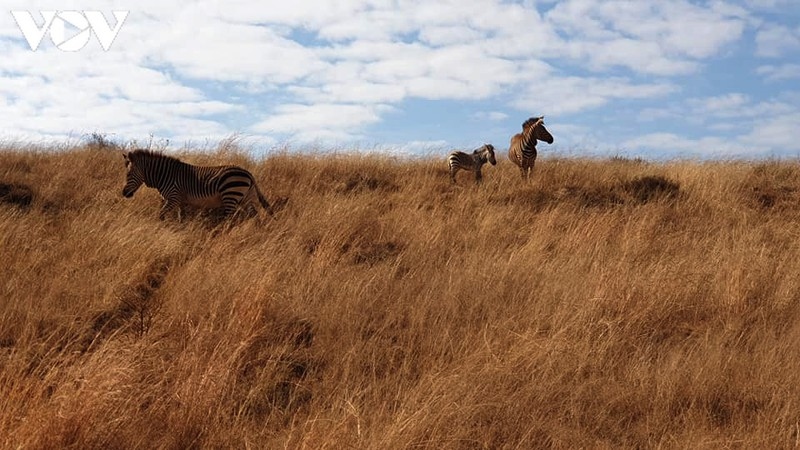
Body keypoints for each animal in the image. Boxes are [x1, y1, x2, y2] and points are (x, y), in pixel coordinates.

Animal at [122, 149, 276, 220]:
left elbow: (160, 214)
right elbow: (181, 217)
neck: (165, 175)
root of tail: (248, 173)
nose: (124, 193)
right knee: (255, 216)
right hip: (246, 197)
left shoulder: (173, 198)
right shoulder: (181, 201)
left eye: (128, 174)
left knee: (230, 219)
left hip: (230, 195)